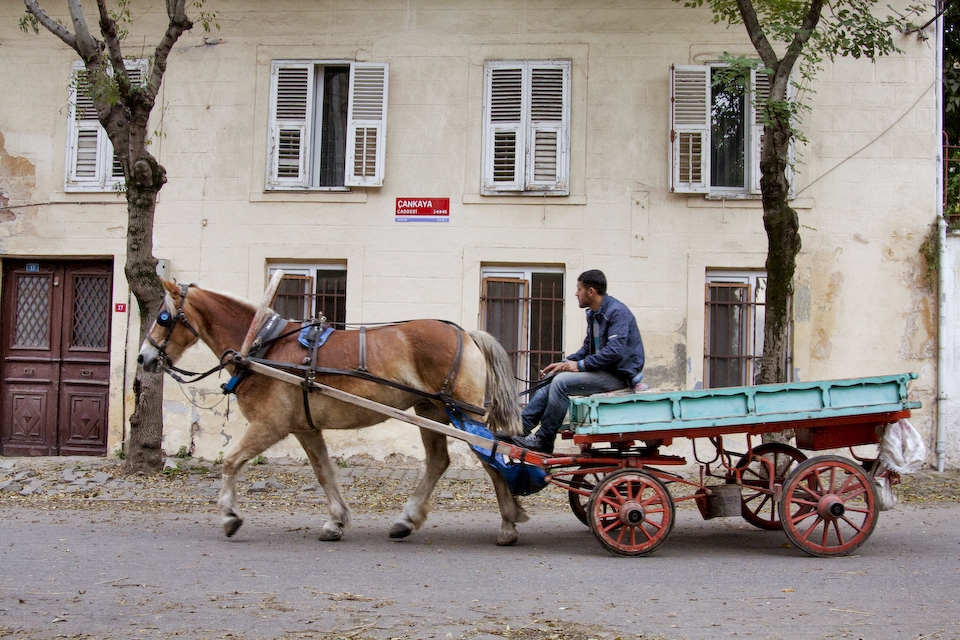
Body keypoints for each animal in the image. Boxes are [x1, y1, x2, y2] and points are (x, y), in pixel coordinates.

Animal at [137, 279, 528, 545]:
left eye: (163, 317)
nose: (143, 357)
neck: (262, 346)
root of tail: (468, 334)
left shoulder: (269, 425)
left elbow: (231, 462)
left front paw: (230, 516)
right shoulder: (304, 428)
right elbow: (324, 472)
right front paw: (336, 521)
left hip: (464, 415)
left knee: (494, 460)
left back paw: (508, 524)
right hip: (431, 412)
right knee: (439, 462)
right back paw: (407, 520)